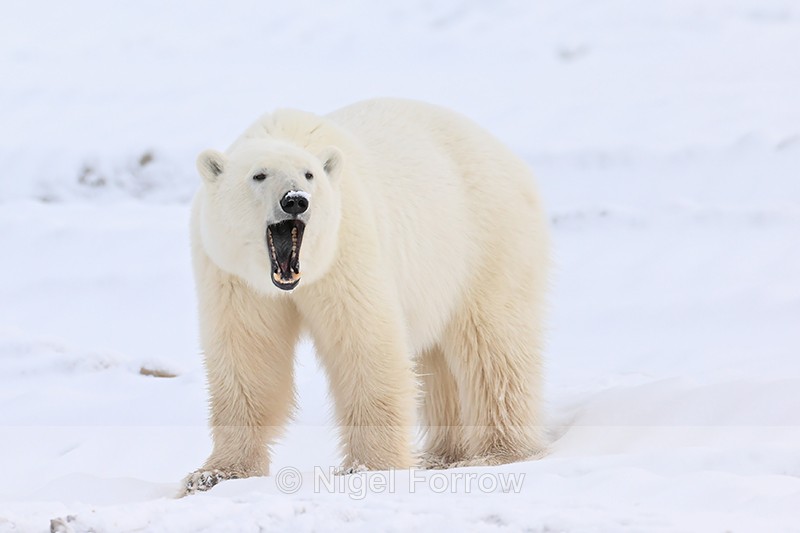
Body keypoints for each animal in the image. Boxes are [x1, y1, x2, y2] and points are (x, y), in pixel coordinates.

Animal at [182, 98, 549, 495]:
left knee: (493, 345)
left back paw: (497, 453)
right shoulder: (232, 276)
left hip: (487, 239)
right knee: (440, 360)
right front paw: (215, 474)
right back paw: (442, 455)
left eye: (309, 175)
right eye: (259, 175)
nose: (295, 201)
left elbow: (364, 344)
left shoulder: (346, 248)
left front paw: (370, 469)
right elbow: (248, 357)